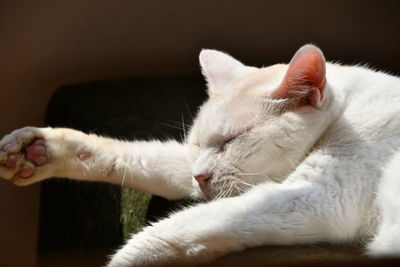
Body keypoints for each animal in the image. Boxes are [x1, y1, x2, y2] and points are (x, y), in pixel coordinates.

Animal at [0, 45, 400, 266]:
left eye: (231, 141)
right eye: (198, 144)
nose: (201, 176)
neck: (344, 113)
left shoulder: (319, 195)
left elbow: (177, 228)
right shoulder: (189, 167)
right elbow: (137, 157)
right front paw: (37, 150)